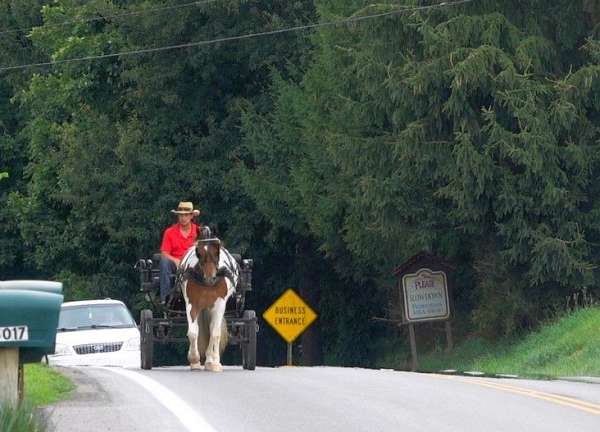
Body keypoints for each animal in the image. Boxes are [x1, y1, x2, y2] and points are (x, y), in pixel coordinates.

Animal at [179, 240, 240, 372]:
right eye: (200, 255)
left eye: (217, 254)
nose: (210, 278)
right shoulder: (192, 304)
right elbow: (193, 332)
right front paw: (194, 360)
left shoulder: (219, 305)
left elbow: (215, 333)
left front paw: (214, 362)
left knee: (213, 330)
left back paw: (211, 361)